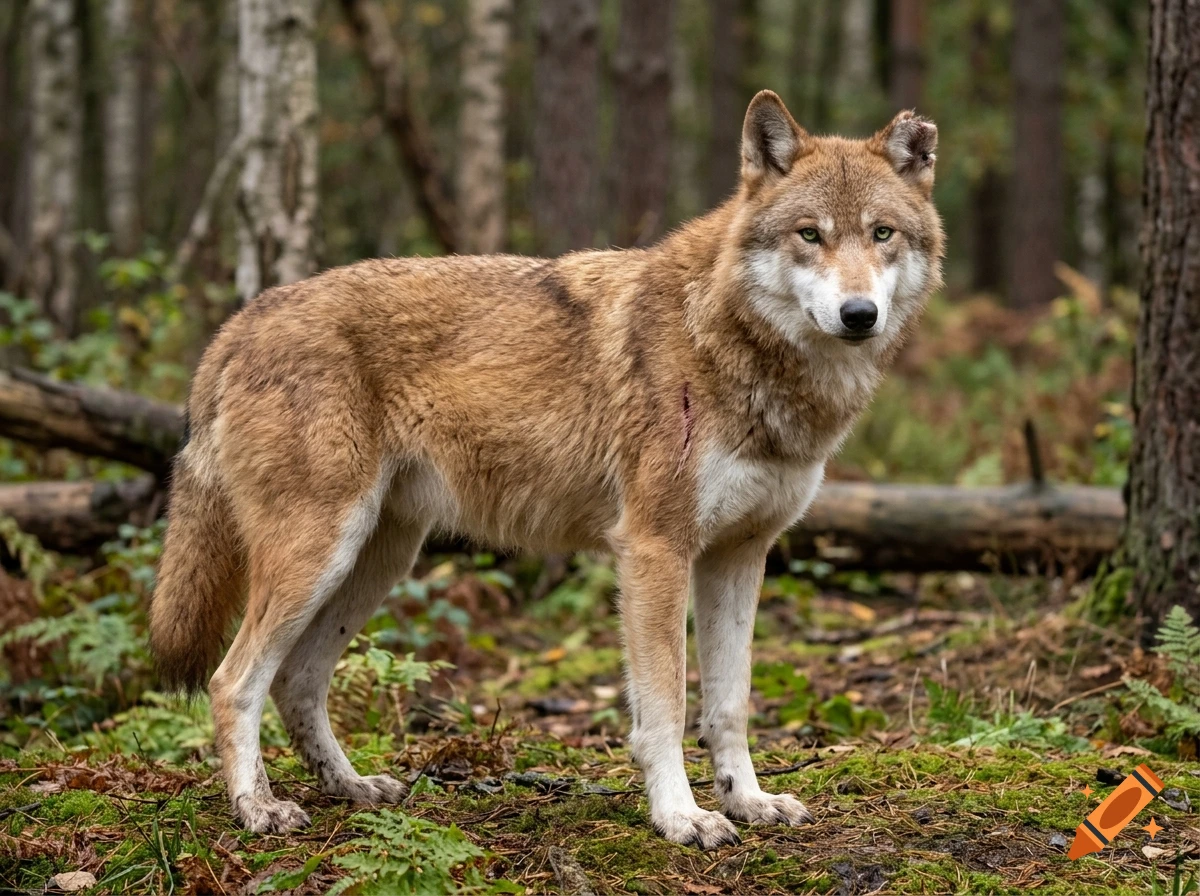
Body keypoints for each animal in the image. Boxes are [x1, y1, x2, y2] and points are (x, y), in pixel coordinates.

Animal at [149, 90, 942, 848]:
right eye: (810, 234)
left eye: (881, 234)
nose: (859, 314)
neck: (730, 343)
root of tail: (237, 324)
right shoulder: (654, 550)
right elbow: (666, 706)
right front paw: (681, 818)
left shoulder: (740, 556)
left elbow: (730, 705)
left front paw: (748, 802)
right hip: (319, 555)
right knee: (233, 681)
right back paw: (258, 809)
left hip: (376, 561)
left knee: (299, 682)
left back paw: (352, 788)